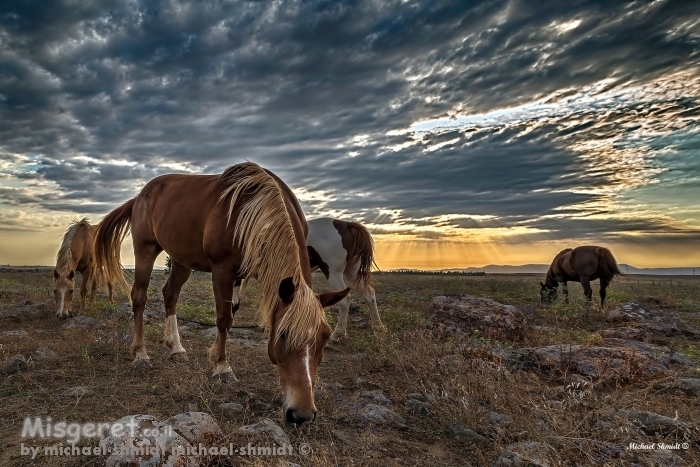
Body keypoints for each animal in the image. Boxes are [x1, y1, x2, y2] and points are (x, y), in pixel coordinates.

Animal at [94, 162, 350, 428]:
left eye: (324, 337)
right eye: (282, 334)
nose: (302, 415)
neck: (253, 208)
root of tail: (140, 196)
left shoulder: (239, 275)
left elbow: (231, 313)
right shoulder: (222, 270)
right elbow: (224, 318)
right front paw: (222, 367)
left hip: (182, 260)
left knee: (170, 295)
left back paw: (176, 348)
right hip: (145, 249)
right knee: (139, 297)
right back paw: (141, 354)